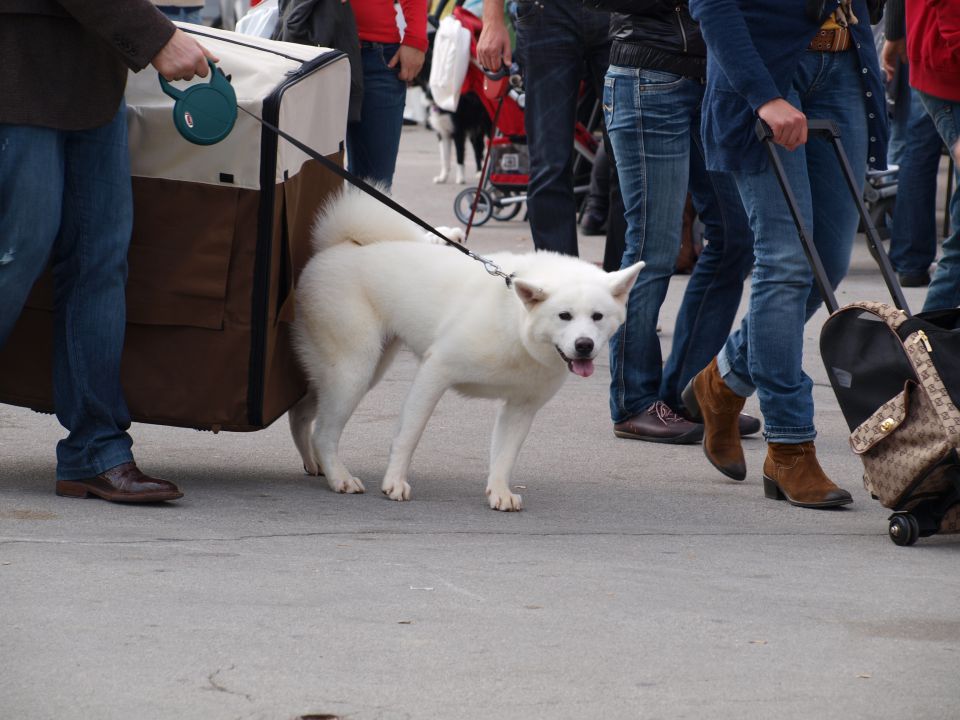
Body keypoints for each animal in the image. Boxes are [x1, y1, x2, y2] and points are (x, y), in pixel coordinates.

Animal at [286, 187, 644, 512]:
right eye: (564, 316)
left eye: (597, 317)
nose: (584, 346)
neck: (513, 321)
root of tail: (340, 246)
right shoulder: (435, 371)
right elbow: (409, 434)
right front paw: (395, 482)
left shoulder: (521, 407)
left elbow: (504, 455)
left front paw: (499, 492)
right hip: (355, 370)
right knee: (324, 432)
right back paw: (339, 477)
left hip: (357, 370)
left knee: (301, 412)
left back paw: (314, 464)